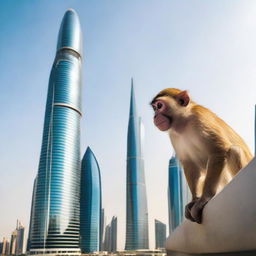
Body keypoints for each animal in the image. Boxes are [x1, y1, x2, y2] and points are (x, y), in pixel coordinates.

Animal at [150, 88, 252, 224]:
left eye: (160, 106)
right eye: (154, 108)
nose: (155, 116)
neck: (183, 121)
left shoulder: (199, 118)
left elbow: (218, 150)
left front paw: (204, 198)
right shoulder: (174, 135)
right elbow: (189, 163)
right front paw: (195, 199)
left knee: (234, 150)